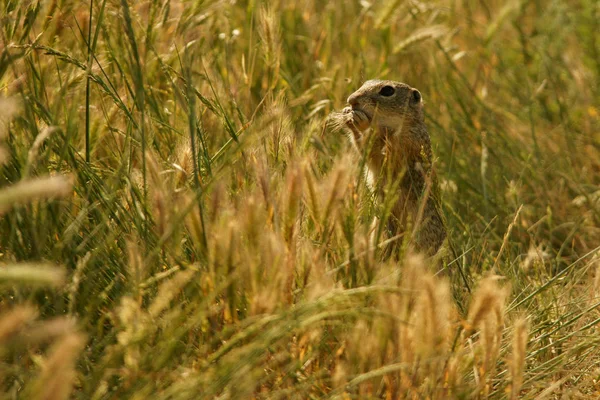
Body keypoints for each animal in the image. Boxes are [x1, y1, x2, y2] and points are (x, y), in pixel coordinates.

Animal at [332, 80, 446, 256]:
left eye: (387, 91)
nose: (351, 100)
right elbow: (366, 150)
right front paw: (348, 116)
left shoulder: (404, 145)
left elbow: (380, 152)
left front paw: (360, 120)